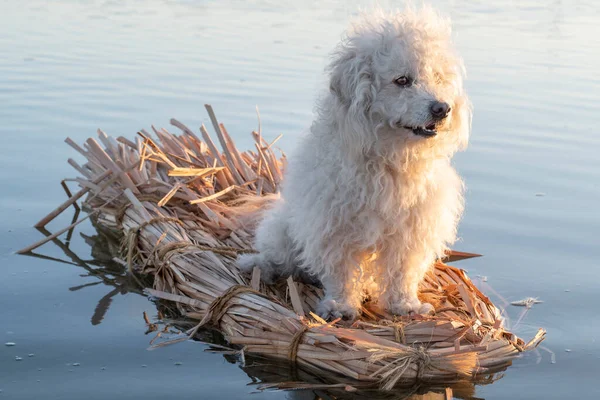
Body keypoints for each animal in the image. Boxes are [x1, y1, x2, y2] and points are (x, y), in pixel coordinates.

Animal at [238, 7, 468, 318]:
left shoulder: (411, 232)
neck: (390, 159)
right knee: (278, 258)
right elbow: (340, 271)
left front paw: (404, 305)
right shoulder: (332, 224)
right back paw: (256, 264)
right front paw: (340, 305)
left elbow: (401, 273)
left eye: (438, 77)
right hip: (283, 231)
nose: (442, 108)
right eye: (402, 80)